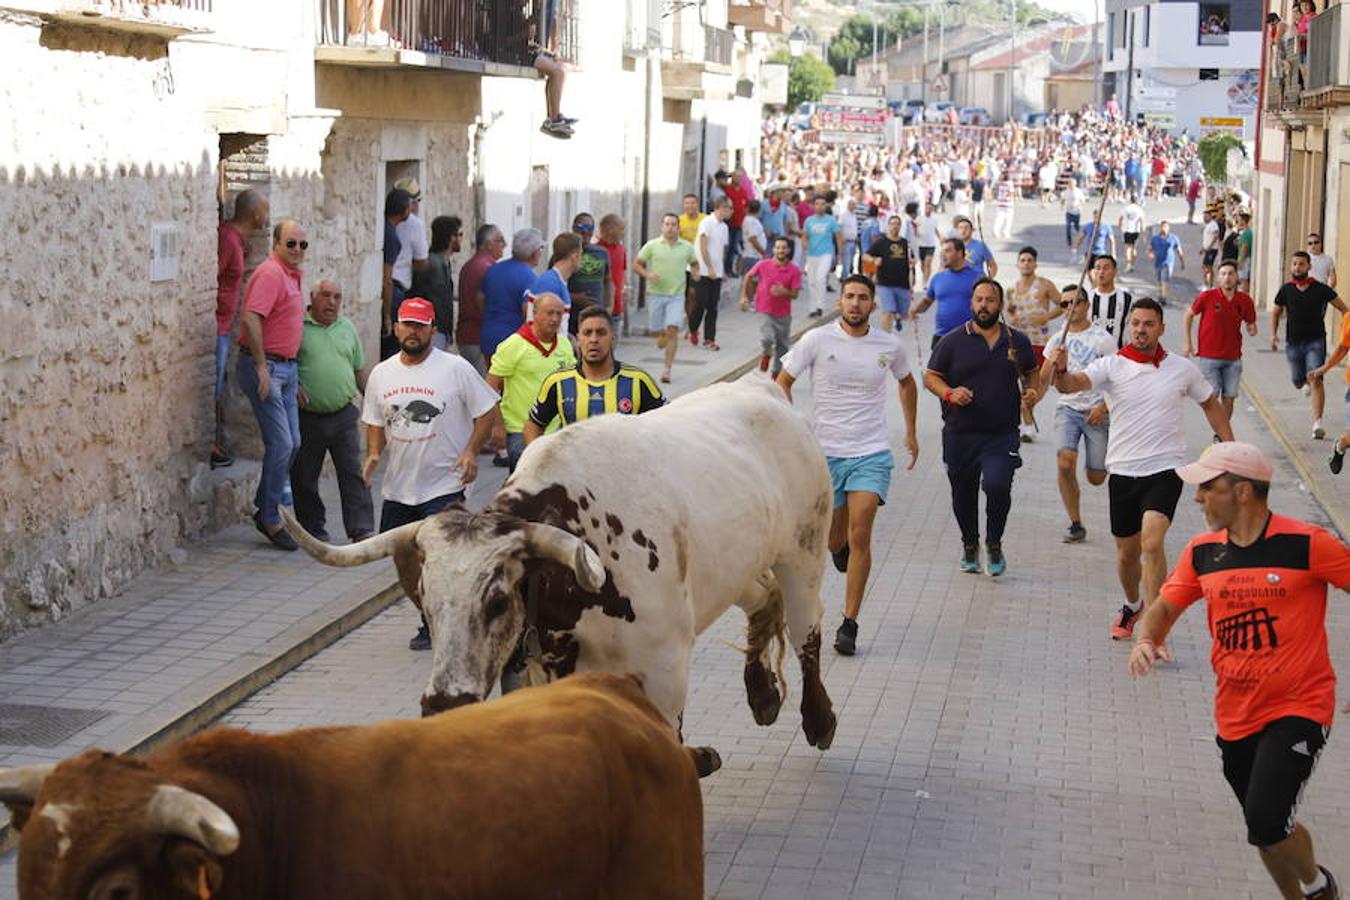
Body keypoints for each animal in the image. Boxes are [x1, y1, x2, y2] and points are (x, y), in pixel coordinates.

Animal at [282, 380, 831, 777]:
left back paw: (819, 718)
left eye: (498, 602)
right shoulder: (546, 668)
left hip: (805, 550)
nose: (444, 704)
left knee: (806, 630)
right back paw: (762, 696)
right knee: (763, 598)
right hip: (734, 564)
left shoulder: (665, 667)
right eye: (426, 606)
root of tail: (763, 389)